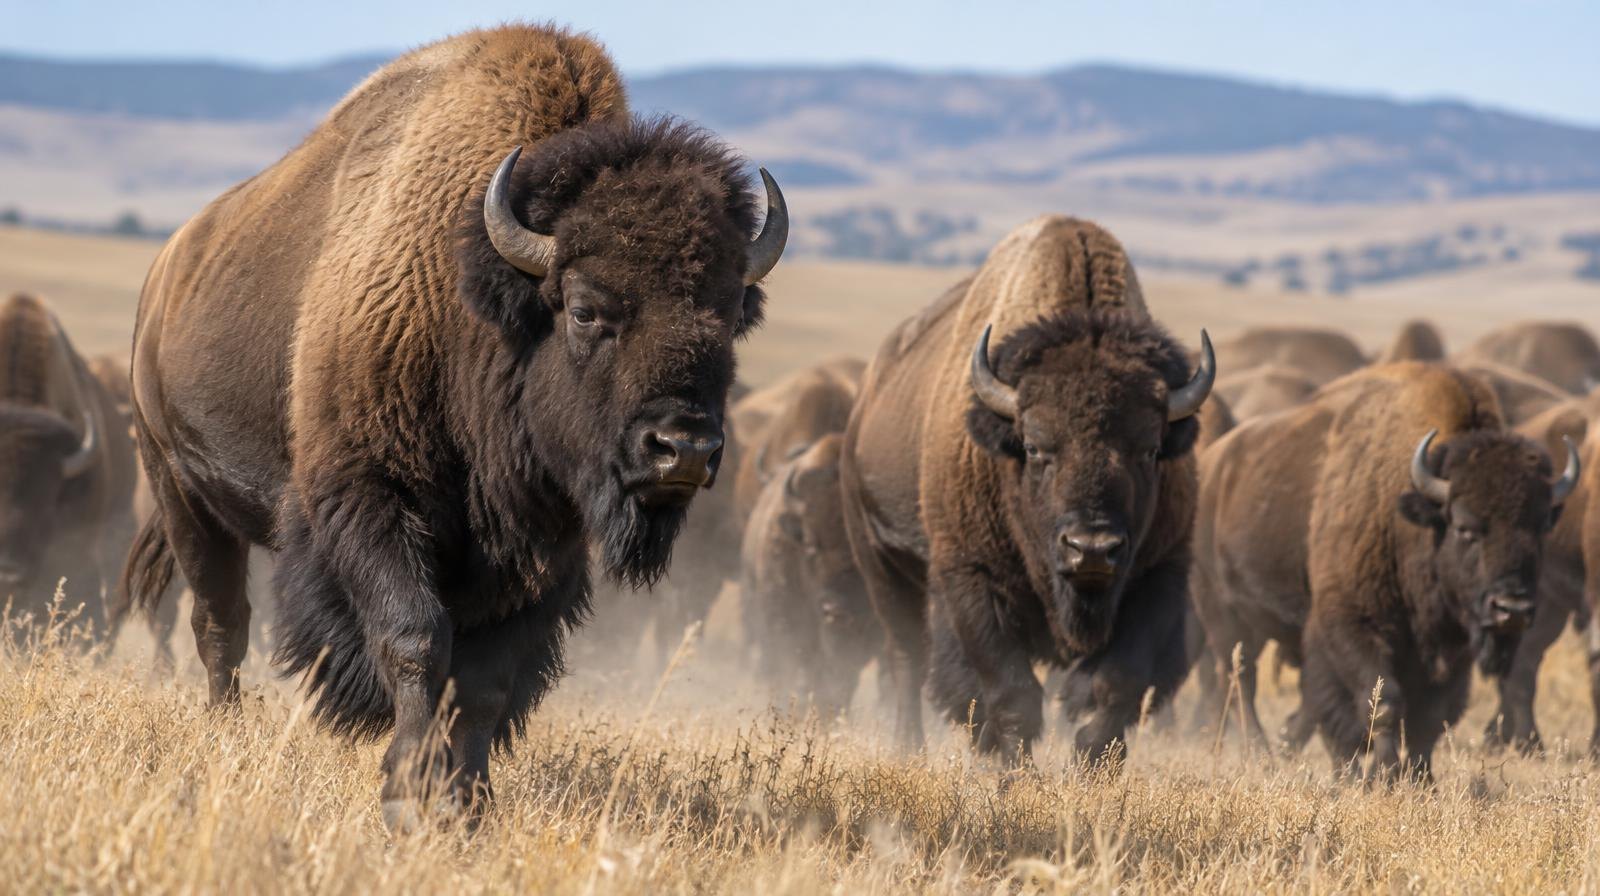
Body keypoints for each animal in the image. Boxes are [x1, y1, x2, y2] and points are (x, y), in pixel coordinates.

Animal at [121, 25, 787, 825]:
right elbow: (416, 641)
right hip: (181, 488)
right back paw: (226, 728)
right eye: (585, 308)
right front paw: (408, 794)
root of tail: (167, 268)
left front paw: (466, 802)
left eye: (729, 316)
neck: (478, 305)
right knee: (221, 620)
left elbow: (485, 683)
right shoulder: (369, 504)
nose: (681, 449)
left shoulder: (541, 551)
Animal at [841, 216, 1214, 762]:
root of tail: (867, 395)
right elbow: (1010, 694)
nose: (1092, 549)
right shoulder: (970, 579)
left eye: (1149, 449)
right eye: (1036, 447)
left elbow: (1115, 687)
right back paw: (909, 749)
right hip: (882, 562)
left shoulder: (1158, 576)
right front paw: (1014, 773)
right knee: (906, 658)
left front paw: (1092, 765)